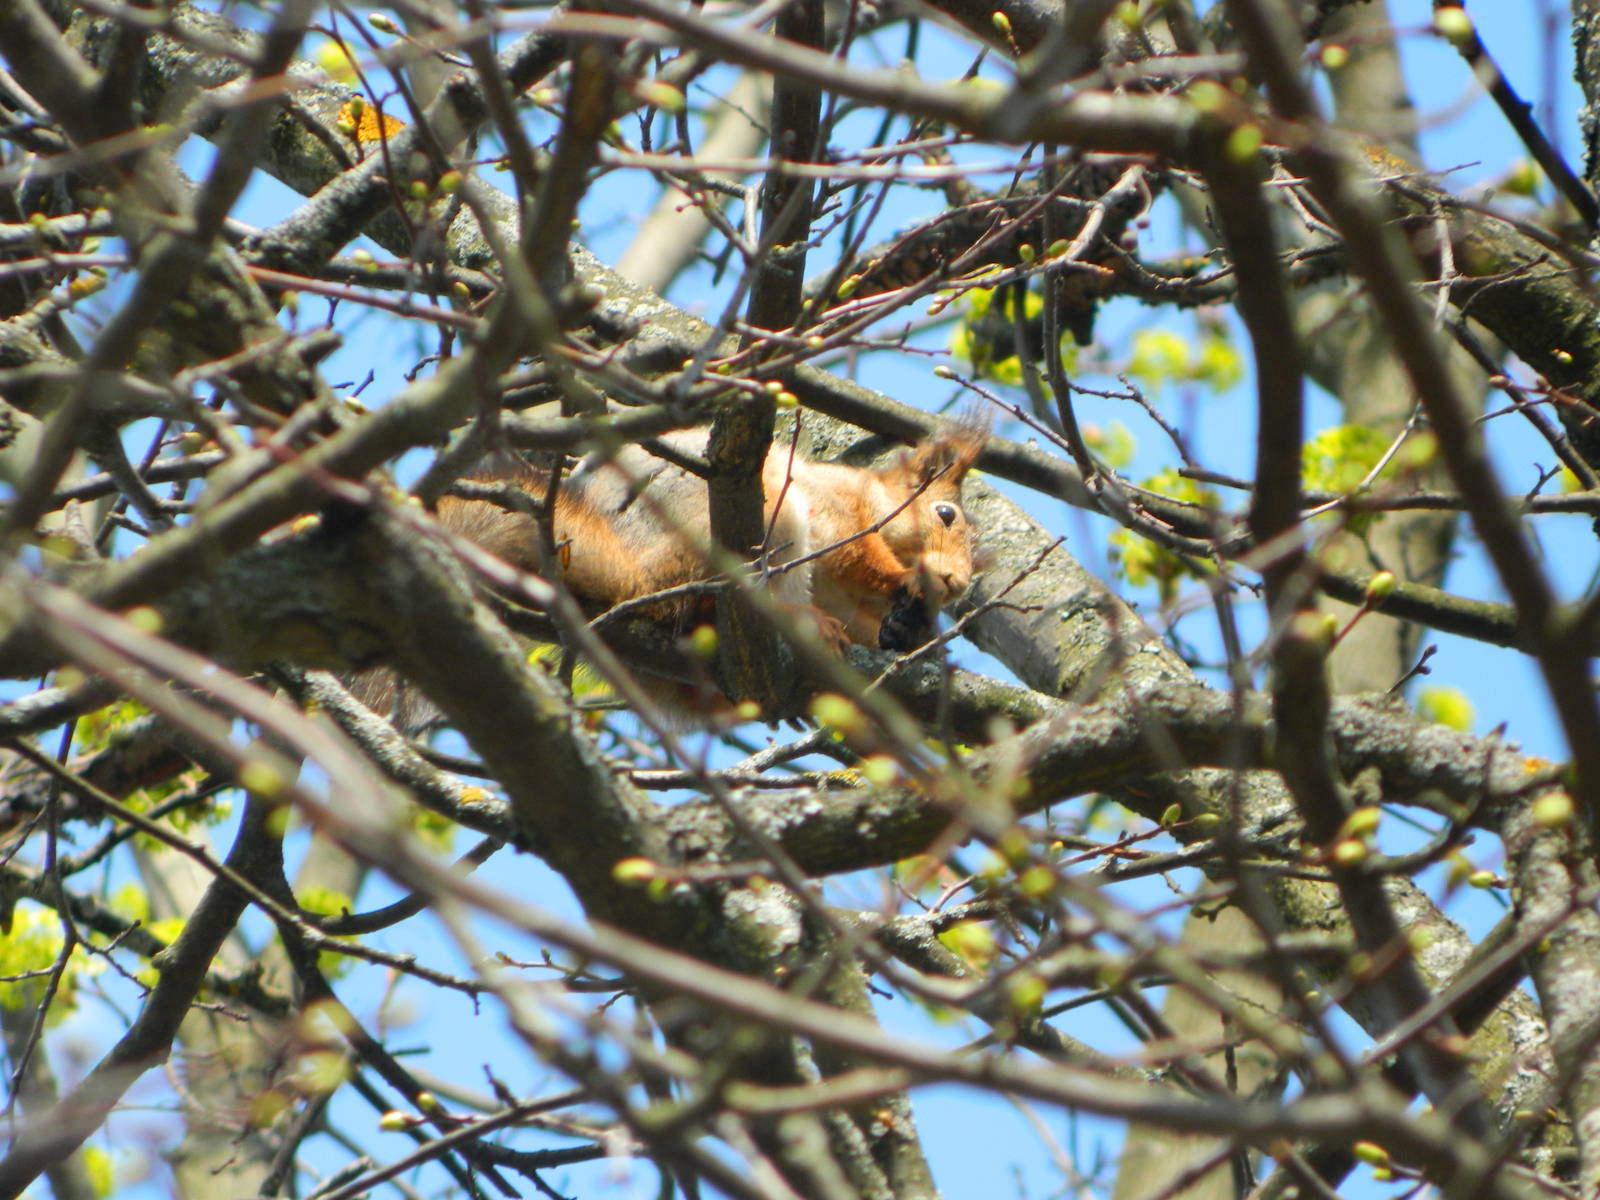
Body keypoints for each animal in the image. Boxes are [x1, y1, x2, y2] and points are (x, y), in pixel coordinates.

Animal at [436, 425, 985, 654]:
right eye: (945, 514)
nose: (957, 584)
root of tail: (635, 580)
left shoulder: (846, 603)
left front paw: (905, 630)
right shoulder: (830, 509)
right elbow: (857, 554)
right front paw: (904, 584)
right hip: (759, 518)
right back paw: (800, 620)